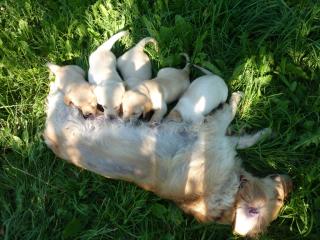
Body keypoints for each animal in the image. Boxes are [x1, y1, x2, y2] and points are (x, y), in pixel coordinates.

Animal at [43, 82, 292, 236]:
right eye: (279, 197)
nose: (290, 181)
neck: (229, 193)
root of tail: (48, 137)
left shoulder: (219, 141)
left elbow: (242, 140)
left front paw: (264, 133)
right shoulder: (212, 133)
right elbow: (229, 116)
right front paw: (238, 101)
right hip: (63, 111)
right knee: (55, 96)